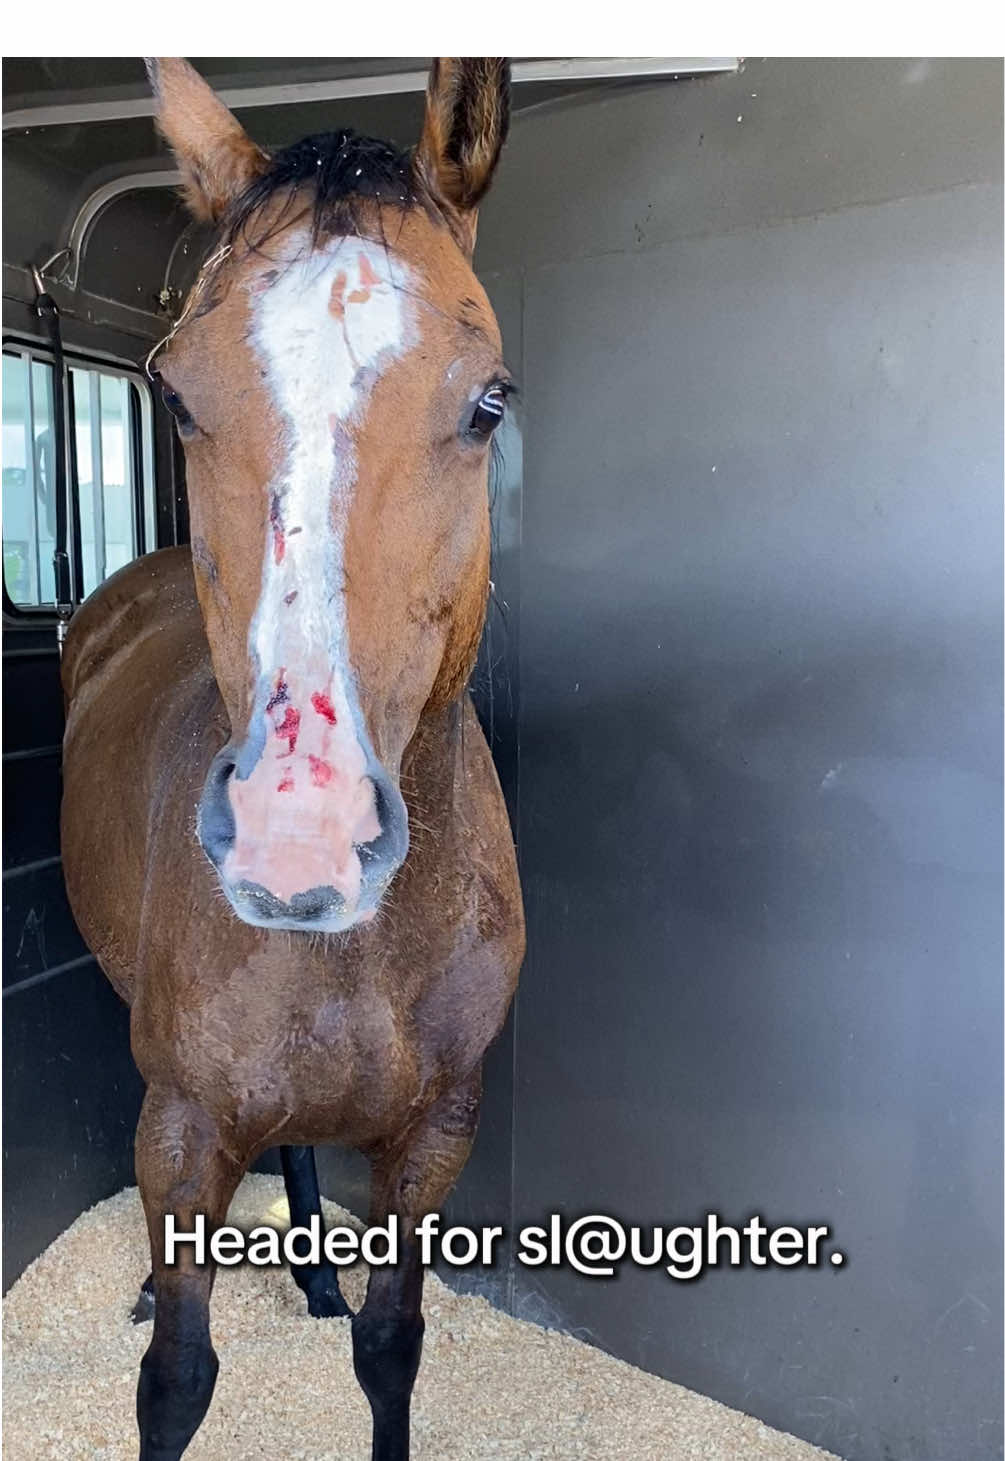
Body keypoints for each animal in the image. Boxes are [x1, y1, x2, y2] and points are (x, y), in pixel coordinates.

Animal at [59, 56, 525, 1461]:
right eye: (171, 394)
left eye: (490, 401)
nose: (296, 836)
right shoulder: (182, 1126)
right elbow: (177, 1380)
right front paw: (161, 1320)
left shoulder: (436, 1136)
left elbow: (393, 1344)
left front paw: (349, 1308)